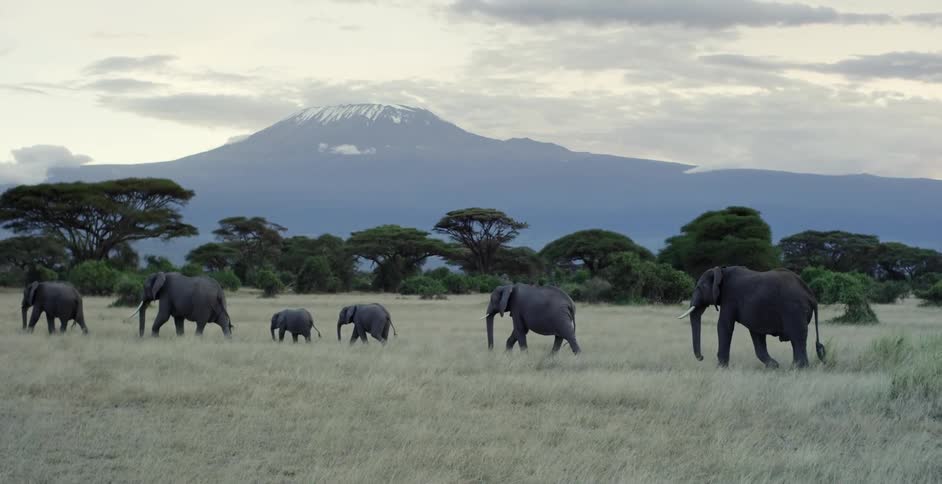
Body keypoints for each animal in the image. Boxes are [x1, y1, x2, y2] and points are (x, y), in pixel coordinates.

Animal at [678, 266, 826, 368]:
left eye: (700, 287)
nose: (701, 357)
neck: (722, 270)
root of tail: (811, 295)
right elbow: (757, 334)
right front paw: (774, 366)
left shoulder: (730, 298)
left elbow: (724, 326)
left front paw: (721, 368)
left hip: (794, 310)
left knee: (797, 338)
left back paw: (798, 369)